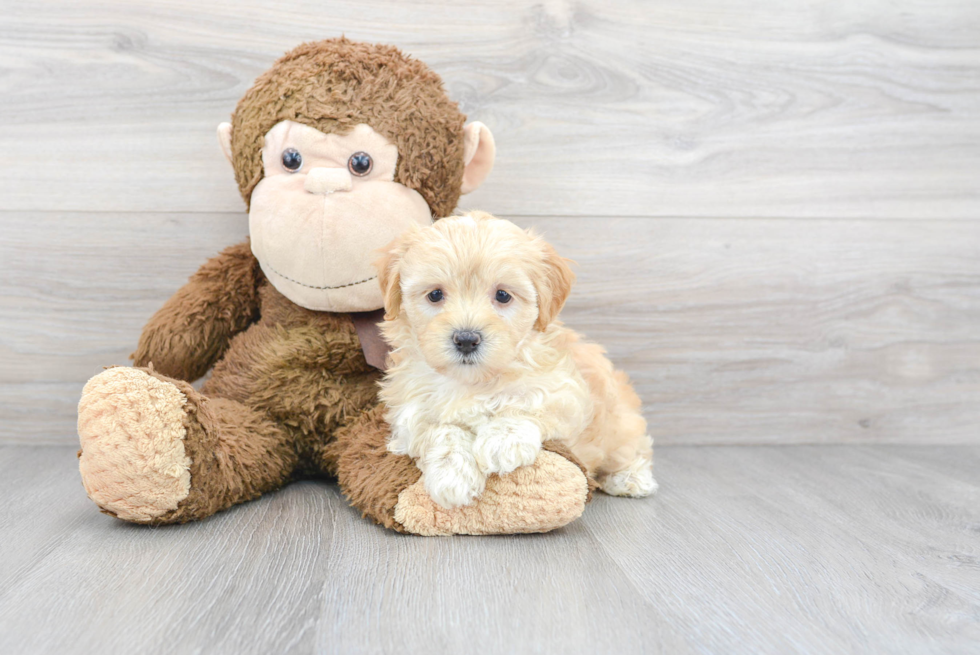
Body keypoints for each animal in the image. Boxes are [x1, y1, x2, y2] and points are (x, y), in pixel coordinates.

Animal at [376, 213, 660, 510]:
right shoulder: (409, 408)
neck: (474, 381)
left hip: (619, 421)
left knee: (631, 448)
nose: (466, 339)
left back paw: (630, 478)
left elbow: (530, 400)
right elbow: (441, 430)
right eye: (434, 295)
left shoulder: (566, 391)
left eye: (503, 295)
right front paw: (452, 474)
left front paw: (503, 440)